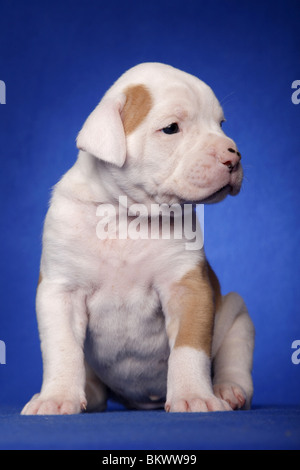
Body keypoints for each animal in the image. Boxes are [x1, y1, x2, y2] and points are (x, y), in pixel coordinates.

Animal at [22, 62, 254, 414]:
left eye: (221, 124)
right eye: (171, 129)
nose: (234, 156)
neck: (125, 217)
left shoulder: (187, 288)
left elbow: (190, 347)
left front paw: (193, 395)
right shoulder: (60, 291)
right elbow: (62, 349)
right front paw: (56, 398)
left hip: (236, 312)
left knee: (235, 357)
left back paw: (227, 389)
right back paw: (87, 394)